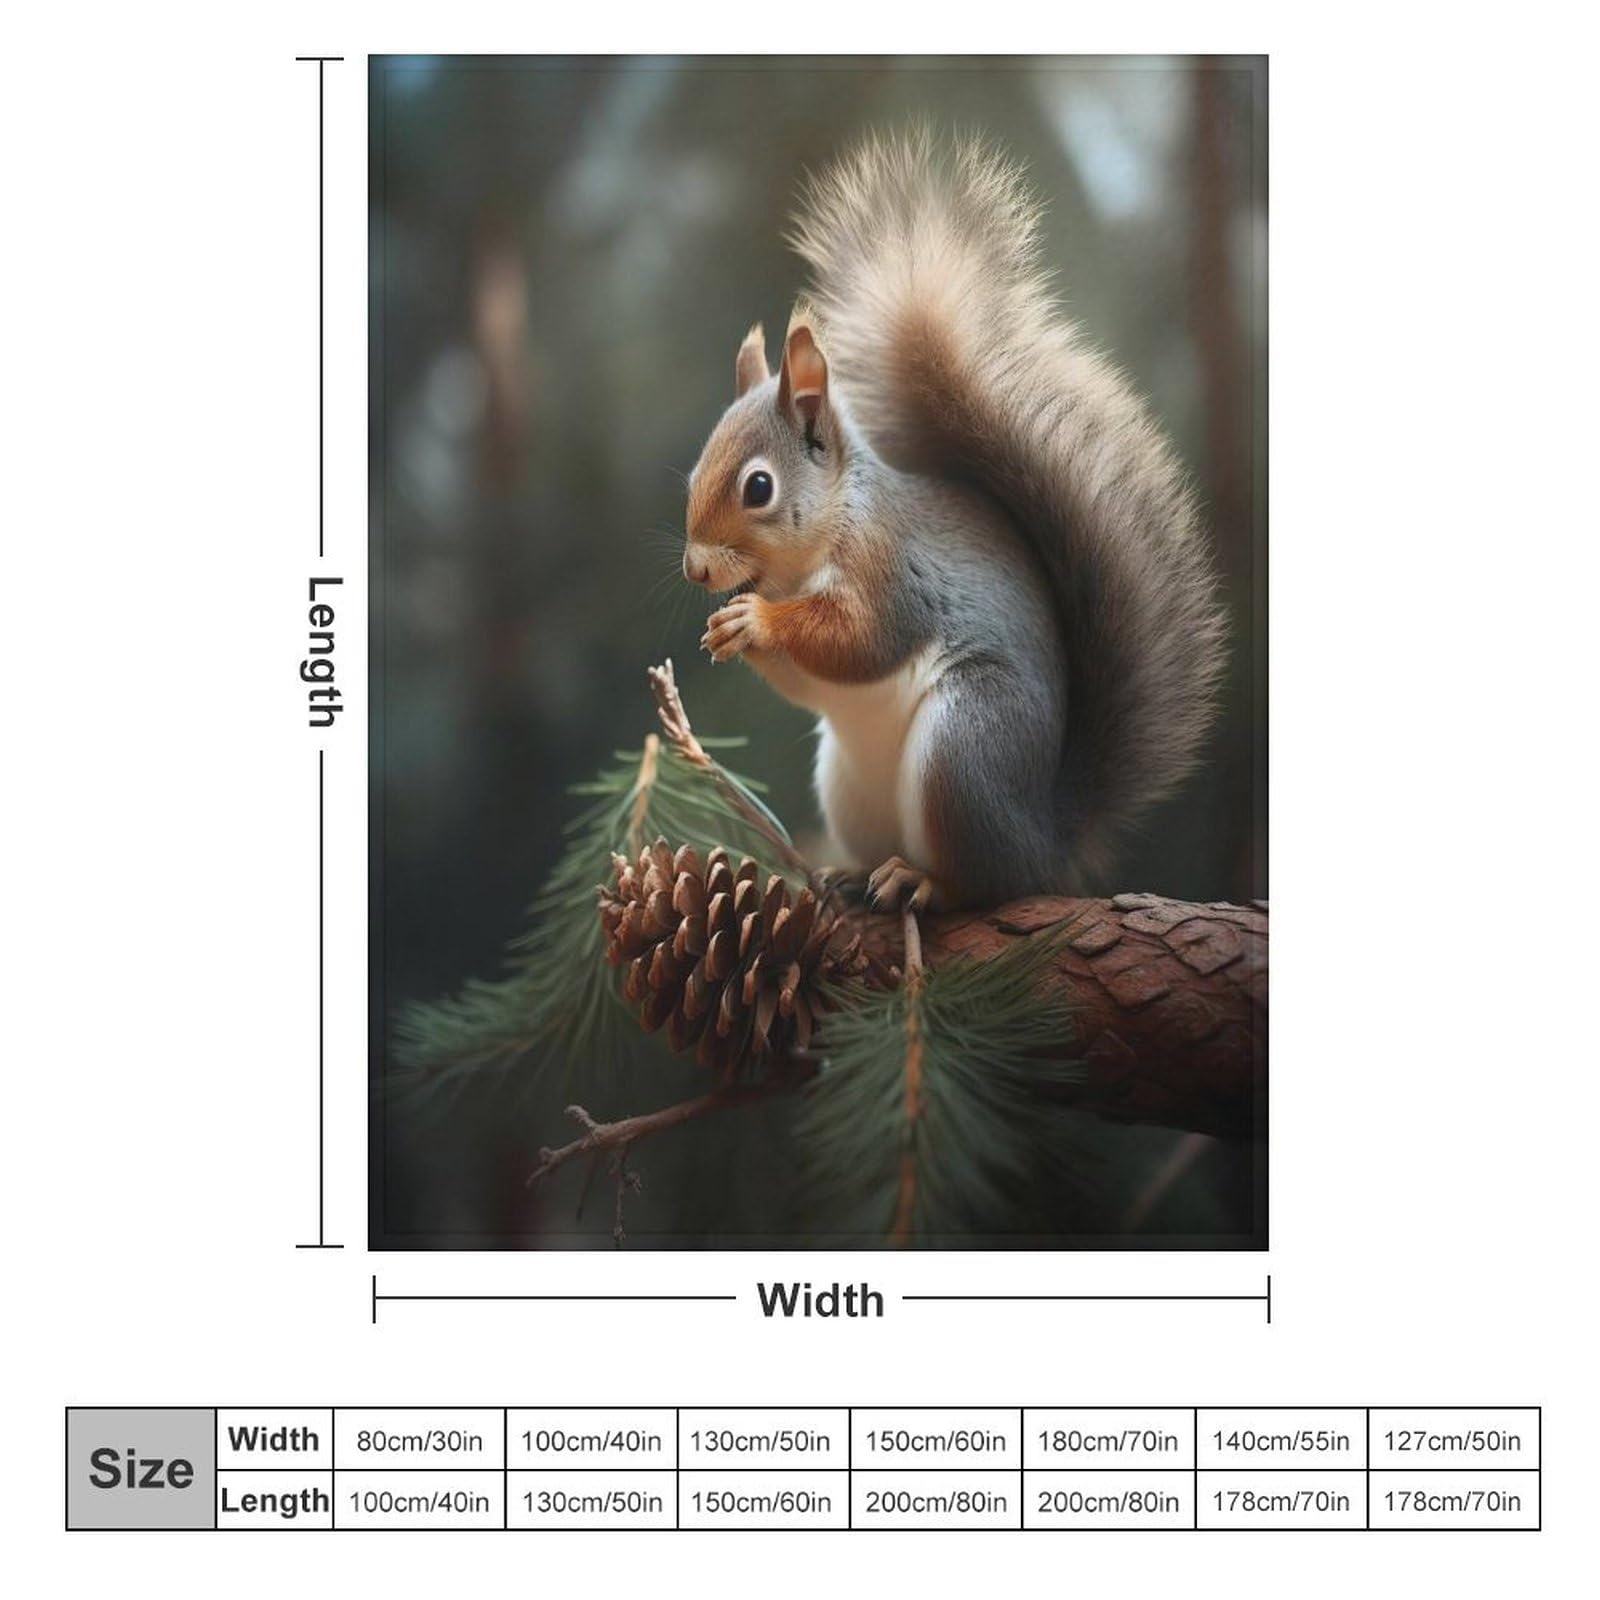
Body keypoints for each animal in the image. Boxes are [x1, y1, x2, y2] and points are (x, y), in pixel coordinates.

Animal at [682, 132, 1227, 911]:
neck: (815, 546)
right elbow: (809, 684)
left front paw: (757, 621)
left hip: (966, 745)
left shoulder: (890, 569)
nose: (696, 568)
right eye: (695, 471)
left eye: (759, 487)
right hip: (848, 782)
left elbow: (861, 640)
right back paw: (855, 874)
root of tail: (1046, 838)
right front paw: (728, 625)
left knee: (989, 881)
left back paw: (925, 881)